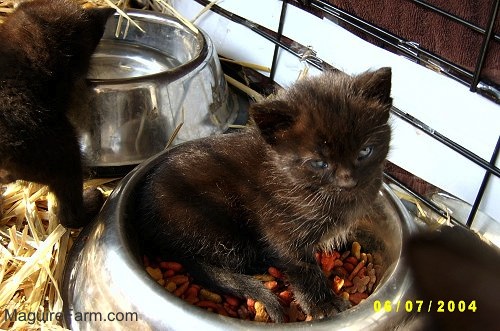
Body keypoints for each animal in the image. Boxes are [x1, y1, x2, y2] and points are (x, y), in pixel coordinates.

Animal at [135, 67, 392, 322]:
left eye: (365, 151)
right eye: (319, 163)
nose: (349, 183)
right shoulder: (282, 230)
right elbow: (302, 266)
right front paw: (323, 303)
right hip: (221, 231)